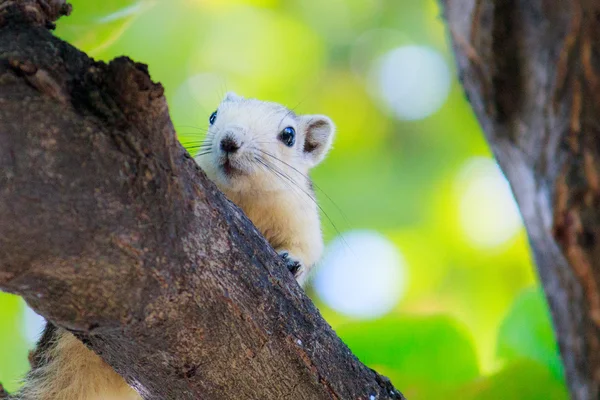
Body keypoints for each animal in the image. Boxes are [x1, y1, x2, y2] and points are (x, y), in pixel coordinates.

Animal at [14, 92, 336, 398]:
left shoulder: (301, 218)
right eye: (213, 116)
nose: (229, 140)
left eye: (289, 135)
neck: (245, 199)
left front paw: (291, 261)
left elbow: (305, 249)